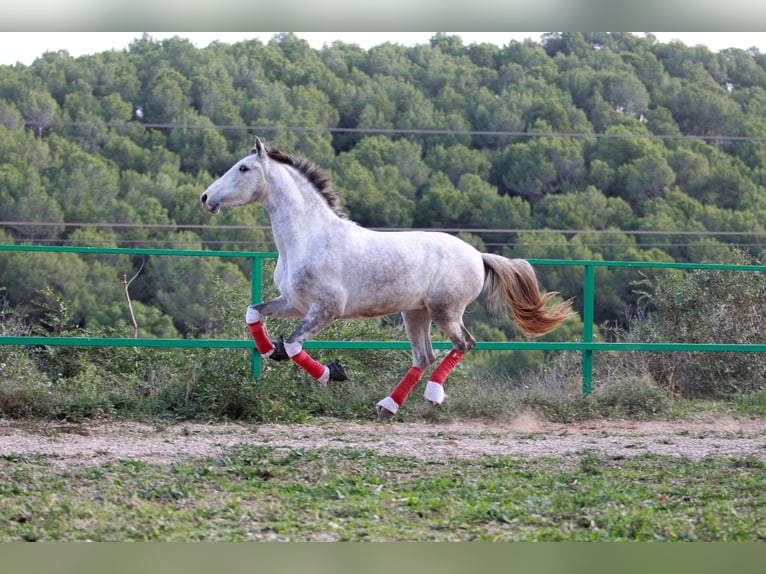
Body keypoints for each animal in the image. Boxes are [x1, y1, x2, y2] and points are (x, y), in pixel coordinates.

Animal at [200, 137, 576, 421]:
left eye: (244, 168)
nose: (206, 198)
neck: (310, 238)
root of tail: (478, 255)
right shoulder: (294, 304)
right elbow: (253, 312)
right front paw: (269, 352)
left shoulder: (325, 310)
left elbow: (294, 345)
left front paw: (332, 373)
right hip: (416, 313)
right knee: (424, 356)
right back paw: (388, 407)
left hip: (445, 311)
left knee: (464, 344)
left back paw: (433, 395)